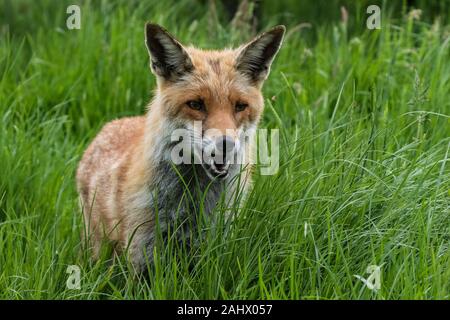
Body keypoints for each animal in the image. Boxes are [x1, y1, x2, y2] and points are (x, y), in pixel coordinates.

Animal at [75, 23, 284, 272]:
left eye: (240, 106)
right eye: (196, 104)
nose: (226, 144)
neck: (193, 203)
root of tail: (108, 127)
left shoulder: (216, 243)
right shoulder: (142, 253)